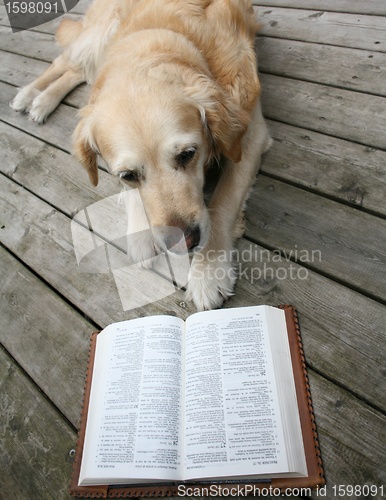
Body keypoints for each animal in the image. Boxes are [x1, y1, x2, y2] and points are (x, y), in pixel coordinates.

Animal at [11, 0, 272, 310]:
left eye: (188, 154)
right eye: (128, 175)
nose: (183, 243)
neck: (166, 33)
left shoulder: (251, 135)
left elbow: (224, 202)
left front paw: (208, 272)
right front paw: (140, 231)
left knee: (77, 70)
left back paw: (40, 101)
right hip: (96, 36)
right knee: (64, 62)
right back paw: (30, 95)